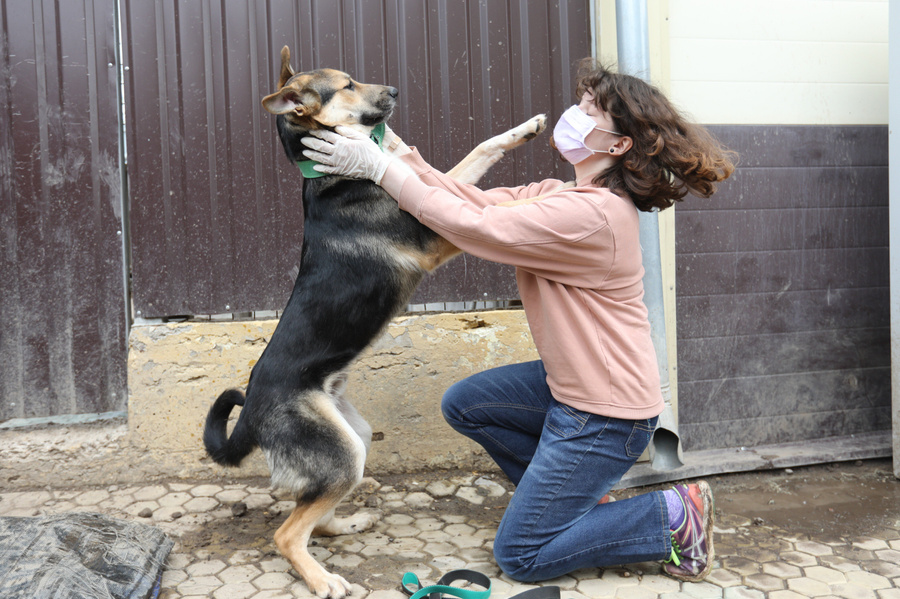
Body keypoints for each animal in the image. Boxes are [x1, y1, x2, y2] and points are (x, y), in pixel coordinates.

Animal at [202, 47, 540, 599]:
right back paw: (322, 579)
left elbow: (478, 153)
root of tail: (250, 412)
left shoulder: (434, 192)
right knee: (288, 531)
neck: (331, 171)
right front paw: (574, 193)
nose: (396, 91)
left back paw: (348, 524)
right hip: (340, 453)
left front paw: (528, 130)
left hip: (354, 439)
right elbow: (510, 206)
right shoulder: (433, 236)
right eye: (346, 86)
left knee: (312, 511)